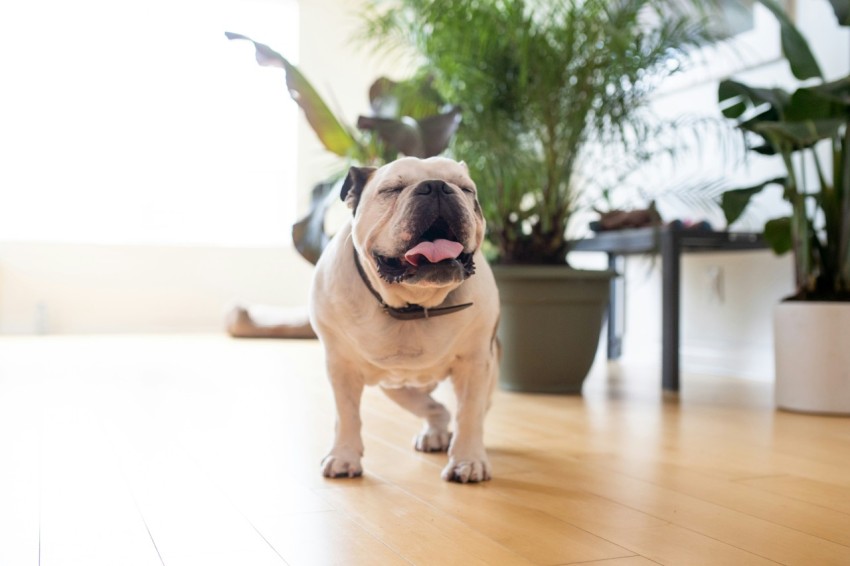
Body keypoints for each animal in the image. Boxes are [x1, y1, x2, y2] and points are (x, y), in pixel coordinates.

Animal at [308, 158, 500, 486]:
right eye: (392, 189)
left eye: (465, 189)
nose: (437, 187)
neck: (413, 305)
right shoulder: (341, 365)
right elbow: (346, 415)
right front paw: (344, 457)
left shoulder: (475, 365)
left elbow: (469, 414)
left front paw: (468, 461)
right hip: (396, 387)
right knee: (434, 408)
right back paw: (435, 434)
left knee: (457, 410)